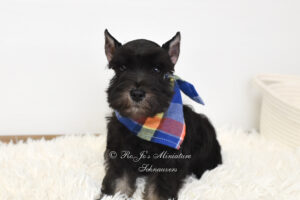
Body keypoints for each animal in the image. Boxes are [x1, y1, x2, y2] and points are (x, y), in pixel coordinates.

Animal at [100, 29, 220, 200]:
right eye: (122, 68)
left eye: (156, 69)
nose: (137, 94)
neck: (144, 123)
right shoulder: (120, 155)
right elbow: (118, 183)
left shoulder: (168, 161)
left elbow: (158, 189)